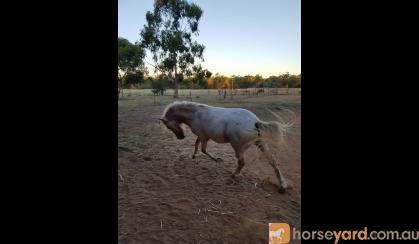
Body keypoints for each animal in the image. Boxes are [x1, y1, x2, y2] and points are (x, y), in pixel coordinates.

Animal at [159, 101, 294, 193]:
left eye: (168, 126)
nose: (180, 137)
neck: (195, 114)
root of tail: (255, 122)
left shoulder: (203, 136)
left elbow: (203, 149)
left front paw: (216, 159)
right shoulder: (203, 136)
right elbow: (197, 145)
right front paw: (194, 155)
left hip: (238, 147)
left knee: (242, 163)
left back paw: (233, 175)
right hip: (260, 144)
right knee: (272, 161)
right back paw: (282, 185)